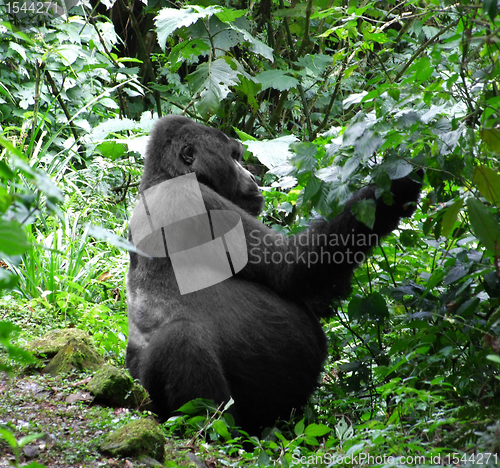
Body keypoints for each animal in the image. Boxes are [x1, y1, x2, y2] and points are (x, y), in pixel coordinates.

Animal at [126, 114, 422, 436]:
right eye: (233, 157)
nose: (253, 177)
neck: (163, 175)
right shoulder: (195, 199)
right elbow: (290, 267)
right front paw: (394, 189)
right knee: (179, 340)